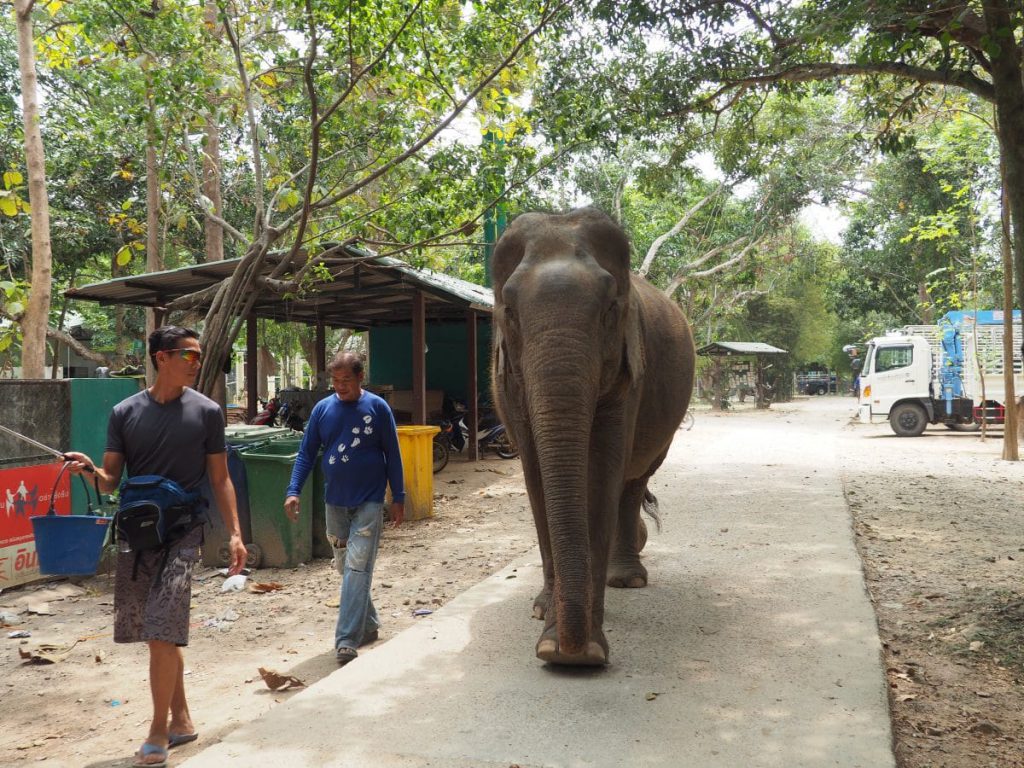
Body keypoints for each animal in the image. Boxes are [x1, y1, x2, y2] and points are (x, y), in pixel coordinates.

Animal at [489, 205, 696, 667]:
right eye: (509, 311)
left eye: (610, 310)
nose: (570, 652)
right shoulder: (510, 384)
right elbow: (536, 476)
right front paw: (547, 623)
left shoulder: (629, 371)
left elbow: (603, 471)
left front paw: (585, 652)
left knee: (633, 481)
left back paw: (627, 578)